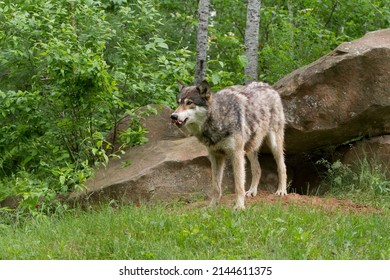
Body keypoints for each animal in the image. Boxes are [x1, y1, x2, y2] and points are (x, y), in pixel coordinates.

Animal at [170, 80, 286, 209]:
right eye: (178, 103)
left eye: (189, 102)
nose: (173, 116)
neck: (219, 117)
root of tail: (267, 85)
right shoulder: (216, 157)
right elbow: (216, 187)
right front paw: (212, 206)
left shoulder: (236, 154)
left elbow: (239, 185)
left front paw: (239, 207)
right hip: (249, 148)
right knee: (257, 169)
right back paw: (252, 191)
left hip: (274, 145)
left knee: (282, 167)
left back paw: (281, 191)